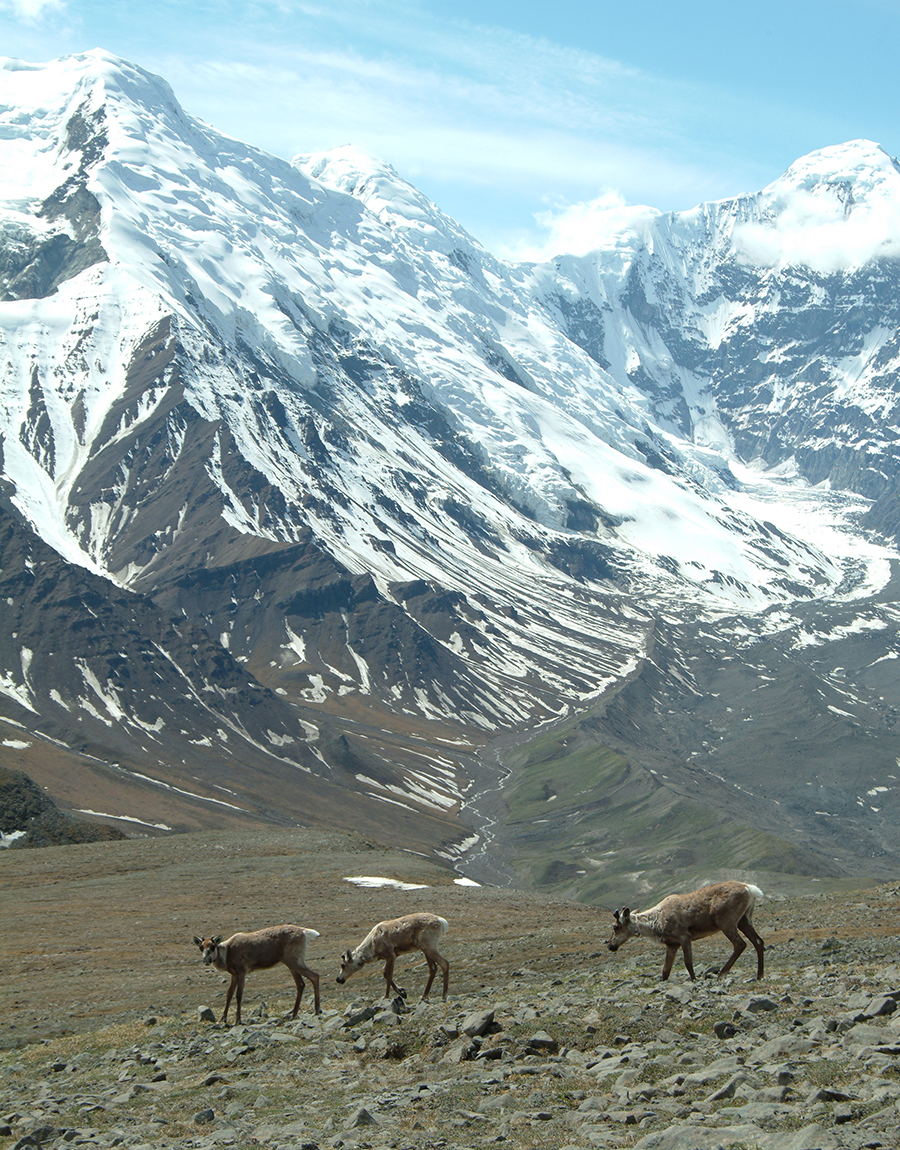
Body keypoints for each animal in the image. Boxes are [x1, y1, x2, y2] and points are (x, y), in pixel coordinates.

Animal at [191, 924, 321, 1025]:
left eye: (213, 946)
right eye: (201, 947)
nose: (206, 960)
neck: (227, 953)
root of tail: (305, 932)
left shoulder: (241, 972)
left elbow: (239, 995)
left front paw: (238, 1021)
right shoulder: (233, 974)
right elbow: (229, 994)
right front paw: (223, 1019)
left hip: (294, 962)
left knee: (315, 976)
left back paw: (317, 1010)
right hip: (291, 965)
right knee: (300, 984)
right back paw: (294, 1014)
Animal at [606, 878, 767, 979]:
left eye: (616, 926)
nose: (610, 946)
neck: (655, 923)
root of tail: (749, 889)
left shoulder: (684, 936)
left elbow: (688, 963)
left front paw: (694, 980)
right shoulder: (672, 944)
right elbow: (665, 970)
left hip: (726, 922)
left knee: (740, 944)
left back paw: (722, 974)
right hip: (744, 920)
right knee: (759, 942)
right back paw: (759, 976)